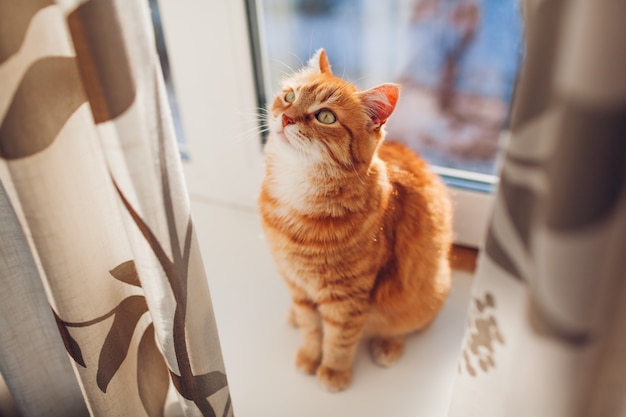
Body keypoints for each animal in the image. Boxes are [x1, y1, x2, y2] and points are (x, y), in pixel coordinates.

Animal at [256, 48, 450, 390]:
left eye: (325, 116)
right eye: (289, 96)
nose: (287, 117)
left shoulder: (346, 297)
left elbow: (339, 339)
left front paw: (333, 371)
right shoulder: (296, 284)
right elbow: (311, 326)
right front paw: (309, 354)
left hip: (425, 293)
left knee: (409, 326)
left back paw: (388, 345)